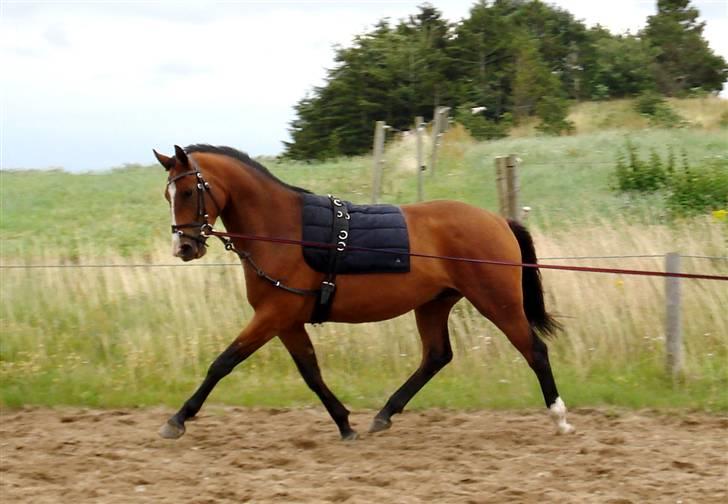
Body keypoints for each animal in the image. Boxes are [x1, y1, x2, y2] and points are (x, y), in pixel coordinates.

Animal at [154, 144, 576, 440]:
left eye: (188, 191)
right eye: (167, 195)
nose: (184, 248)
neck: (283, 230)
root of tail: (498, 220)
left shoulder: (273, 315)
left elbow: (223, 362)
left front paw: (178, 419)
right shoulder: (286, 321)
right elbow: (311, 372)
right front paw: (344, 423)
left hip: (497, 301)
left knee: (534, 350)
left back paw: (560, 418)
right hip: (434, 304)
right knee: (436, 357)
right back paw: (384, 415)